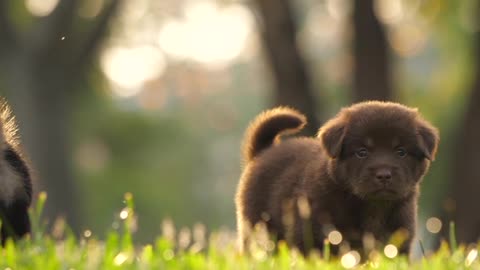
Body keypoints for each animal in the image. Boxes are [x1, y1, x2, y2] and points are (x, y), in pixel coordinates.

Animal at [235, 100, 438, 256]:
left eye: (401, 152)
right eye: (362, 152)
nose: (384, 175)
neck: (372, 205)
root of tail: (263, 152)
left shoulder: (399, 235)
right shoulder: (313, 234)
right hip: (258, 227)